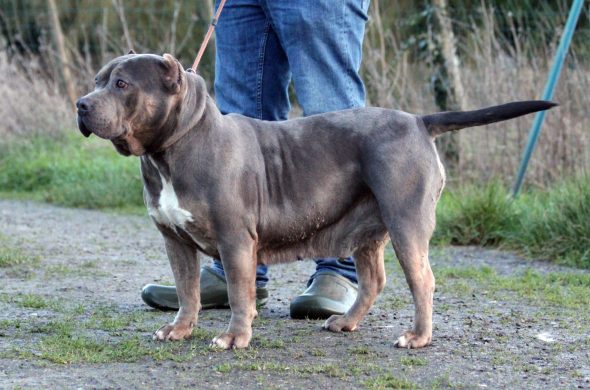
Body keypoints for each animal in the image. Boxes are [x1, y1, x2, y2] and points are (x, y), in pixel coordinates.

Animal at [76, 53, 556, 348]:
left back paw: (417, 337)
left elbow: (238, 293)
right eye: (97, 81)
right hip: (368, 231)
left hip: (406, 222)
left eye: (121, 83)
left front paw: (234, 337)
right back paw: (346, 321)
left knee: (423, 281)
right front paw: (179, 329)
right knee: (373, 280)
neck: (172, 149)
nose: (81, 103)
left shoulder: (235, 240)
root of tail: (419, 120)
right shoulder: (174, 240)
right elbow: (188, 290)